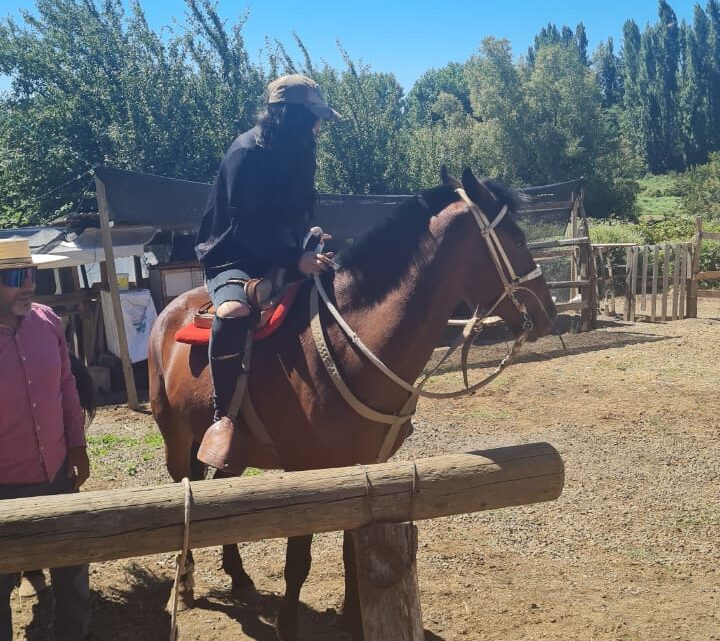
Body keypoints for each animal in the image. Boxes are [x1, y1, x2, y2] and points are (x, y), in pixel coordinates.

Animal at [149, 166, 556, 640]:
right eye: (517, 238)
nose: (547, 313)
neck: (349, 343)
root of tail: (170, 312)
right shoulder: (305, 470)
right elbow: (298, 560)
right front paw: (289, 625)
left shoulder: (363, 468)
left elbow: (350, 548)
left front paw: (353, 617)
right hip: (176, 437)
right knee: (186, 492)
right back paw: (185, 585)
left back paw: (239, 576)